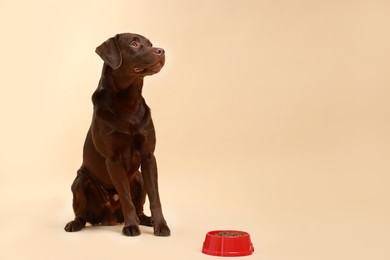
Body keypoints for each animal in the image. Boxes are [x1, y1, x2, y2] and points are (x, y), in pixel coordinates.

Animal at [64, 32, 171, 236]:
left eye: (150, 44)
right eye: (134, 43)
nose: (161, 51)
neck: (128, 101)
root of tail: (110, 218)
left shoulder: (148, 156)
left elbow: (155, 198)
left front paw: (161, 225)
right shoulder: (113, 160)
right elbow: (125, 197)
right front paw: (130, 226)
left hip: (139, 178)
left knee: (140, 208)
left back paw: (147, 220)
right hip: (80, 180)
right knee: (82, 213)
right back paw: (75, 223)